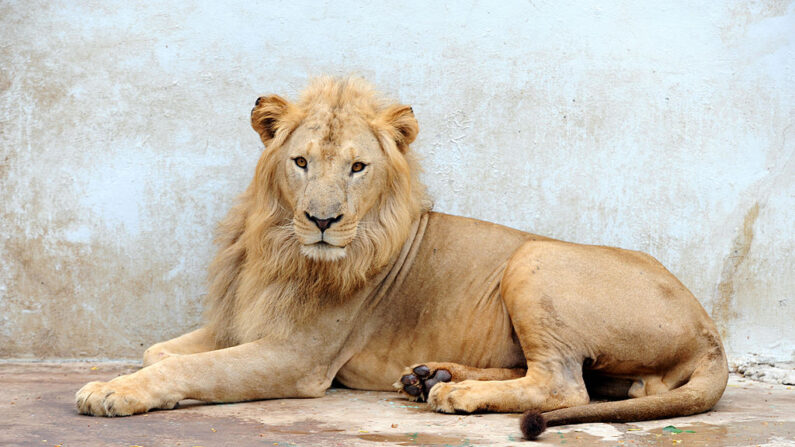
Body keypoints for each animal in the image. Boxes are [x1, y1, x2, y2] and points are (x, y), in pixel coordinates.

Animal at [77, 78, 732, 440]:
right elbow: (157, 352)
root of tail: (710, 332)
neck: (277, 245)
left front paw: (112, 392)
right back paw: (430, 377)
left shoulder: (299, 358)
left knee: (567, 388)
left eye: (357, 167)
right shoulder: (236, 323)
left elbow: (183, 369)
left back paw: (454, 395)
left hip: (534, 258)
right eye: (301, 162)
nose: (322, 221)